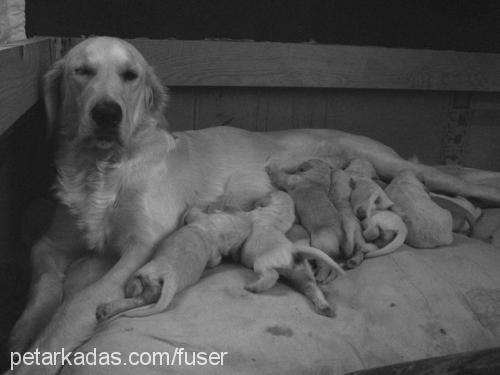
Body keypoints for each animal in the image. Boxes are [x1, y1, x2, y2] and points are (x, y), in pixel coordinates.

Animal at [8, 34, 500, 374]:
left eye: (130, 76)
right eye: (82, 71)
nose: (106, 114)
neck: (103, 166)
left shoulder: (141, 247)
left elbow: (75, 304)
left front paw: (42, 351)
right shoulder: (50, 245)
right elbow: (38, 296)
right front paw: (20, 335)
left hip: (395, 163)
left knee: (464, 182)